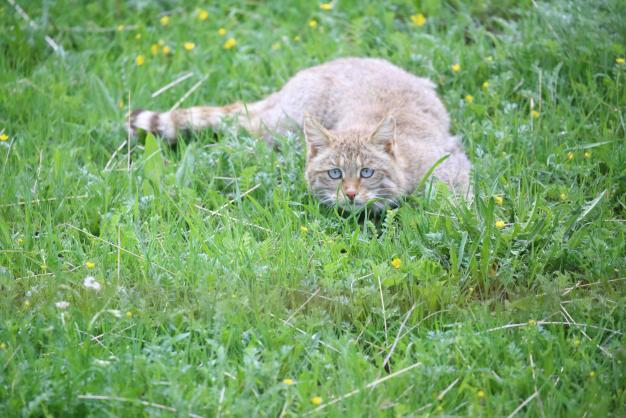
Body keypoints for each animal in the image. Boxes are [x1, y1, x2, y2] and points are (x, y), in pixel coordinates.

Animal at [128, 57, 468, 211]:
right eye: (334, 173)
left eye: (367, 172)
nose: (350, 194)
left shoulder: (452, 164)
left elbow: (455, 201)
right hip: (281, 126)